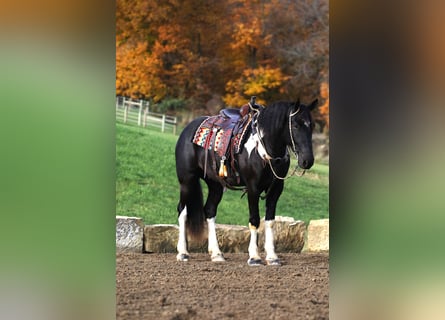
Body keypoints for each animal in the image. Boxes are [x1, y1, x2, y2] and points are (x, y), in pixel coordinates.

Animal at [173, 99, 316, 264]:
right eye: (296, 125)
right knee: (182, 211)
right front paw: (254, 257)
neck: (264, 147)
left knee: (209, 211)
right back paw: (183, 252)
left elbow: (270, 221)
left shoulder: (276, 189)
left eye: (312, 126)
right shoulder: (253, 188)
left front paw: (272, 257)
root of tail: (188, 129)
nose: (307, 161)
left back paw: (216, 254)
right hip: (187, 181)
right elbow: (254, 220)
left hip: (215, 185)